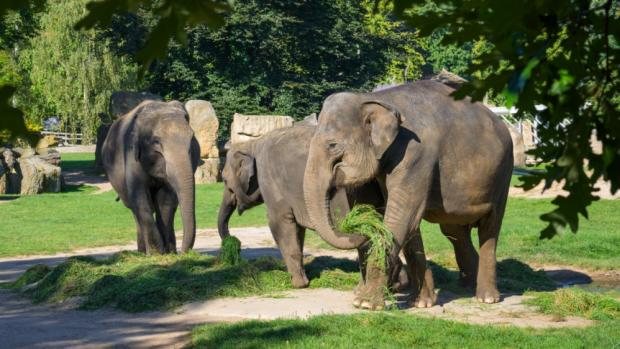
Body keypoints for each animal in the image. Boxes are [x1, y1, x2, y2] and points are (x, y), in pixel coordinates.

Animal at [101, 99, 199, 254]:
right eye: (156, 142)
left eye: (192, 139)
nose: (184, 251)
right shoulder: (131, 155)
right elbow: (140, 196)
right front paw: (157, 252)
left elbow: (166, 200)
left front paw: (169, 252)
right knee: (134, 208)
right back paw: (143, 252)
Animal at [216, 121, 386, 290]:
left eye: (224, 180)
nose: (235, 242)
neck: (251, 144)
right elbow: (297, 229)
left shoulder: (271, 182)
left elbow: (279, 223)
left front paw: (298, 284)